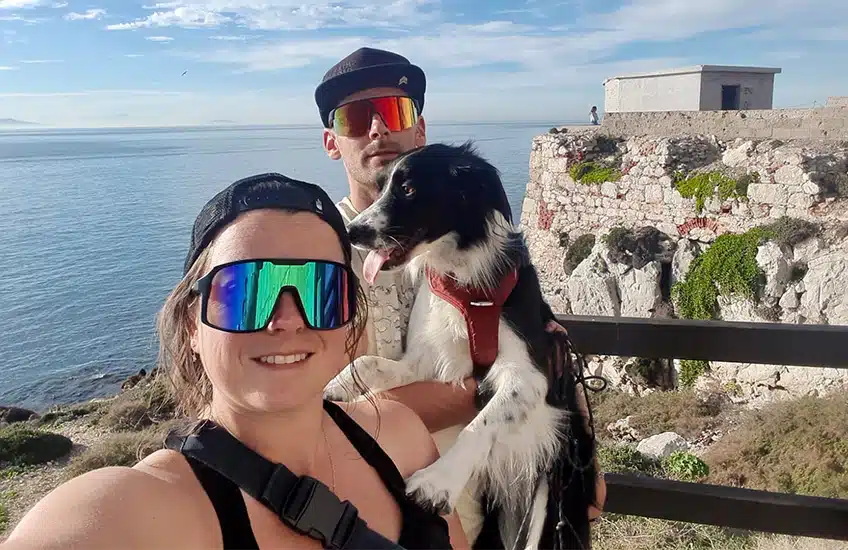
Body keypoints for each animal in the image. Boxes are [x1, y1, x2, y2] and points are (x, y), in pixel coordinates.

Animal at [324, 142, 596, 550]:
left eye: (408, 189)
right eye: (380, 186)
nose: (352, 231)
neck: (462, 281)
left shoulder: (530, 376)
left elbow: (482, 423)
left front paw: (438, 482)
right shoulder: (425, 362)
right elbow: (368, 363)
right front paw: (336, 388)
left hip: (552, 503)